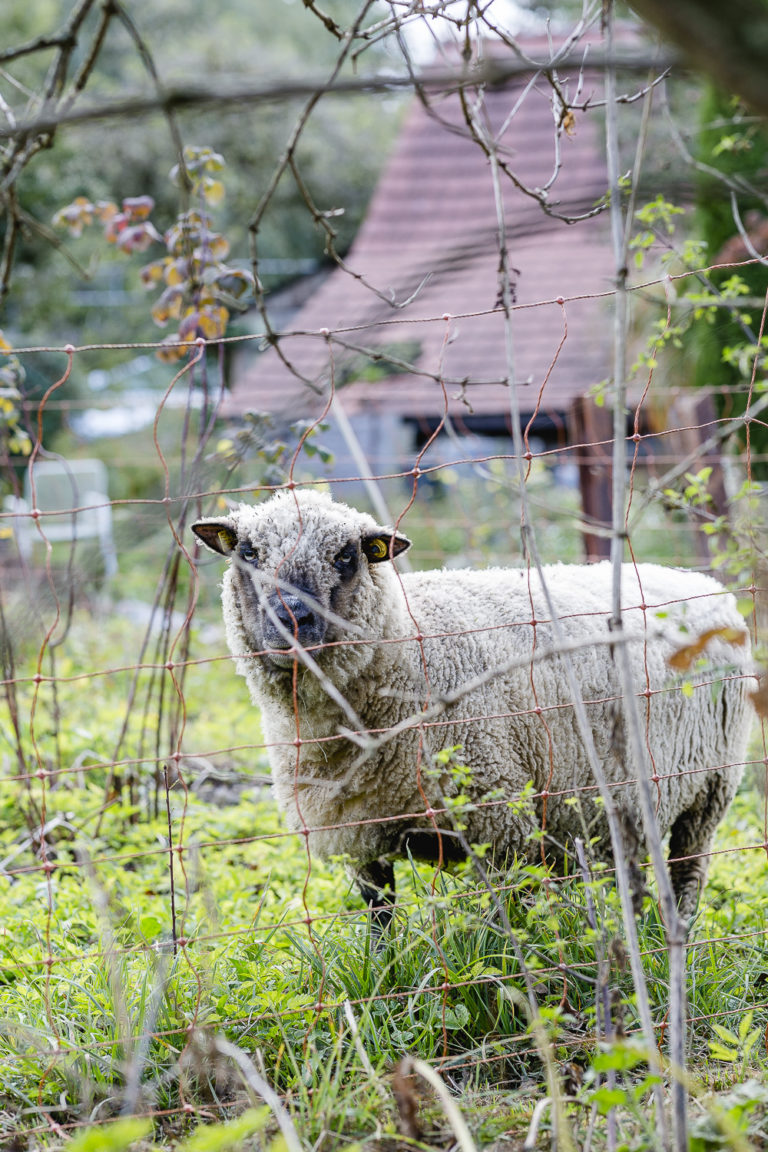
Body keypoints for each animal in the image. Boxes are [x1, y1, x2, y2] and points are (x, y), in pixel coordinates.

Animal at [195, 490, 755, 921]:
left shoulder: (501, 824)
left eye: (346, 556)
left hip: (710, 787)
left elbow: (509, 923)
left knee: (688, 871)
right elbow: (381, 917)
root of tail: (705, 584)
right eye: (247, 552)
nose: (291, 618)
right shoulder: (359, 835)